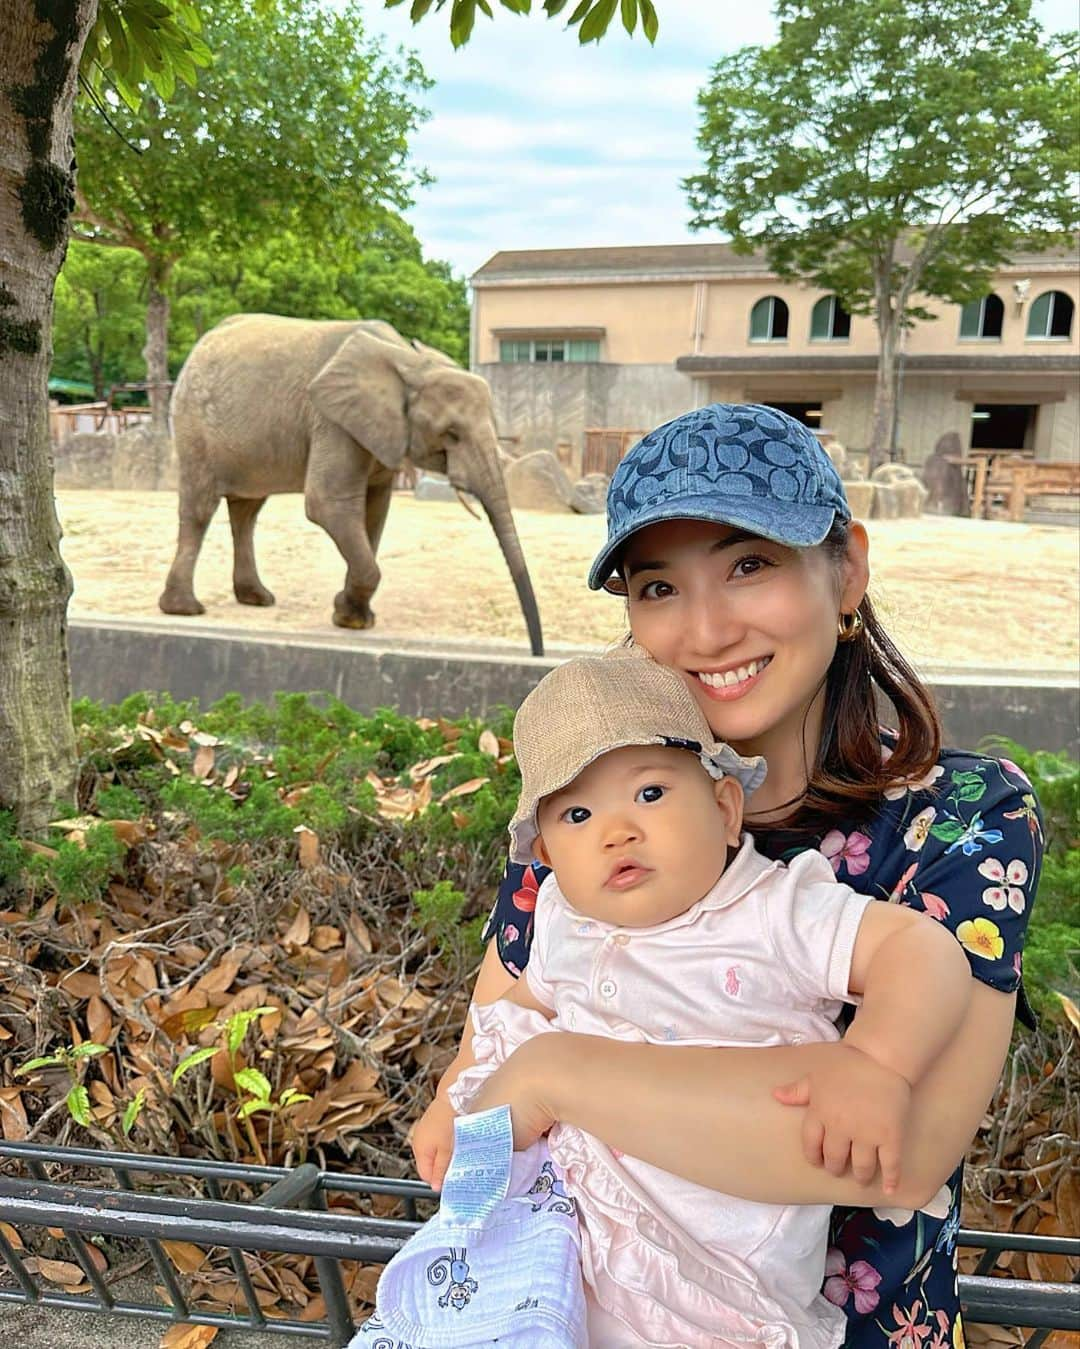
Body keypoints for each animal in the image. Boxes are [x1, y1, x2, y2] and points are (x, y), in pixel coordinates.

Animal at [155, 315, 544, 652]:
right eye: (452, 433)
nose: (537, 652)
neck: (409, 362)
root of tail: (198, 348)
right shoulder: (331, 420)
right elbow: (328, 504)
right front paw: (350, 617)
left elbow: (375, 511)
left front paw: (353, 617)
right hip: (193, 426)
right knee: (201, 509)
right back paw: (185, 609)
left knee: (247, 510)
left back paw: (257, 599)